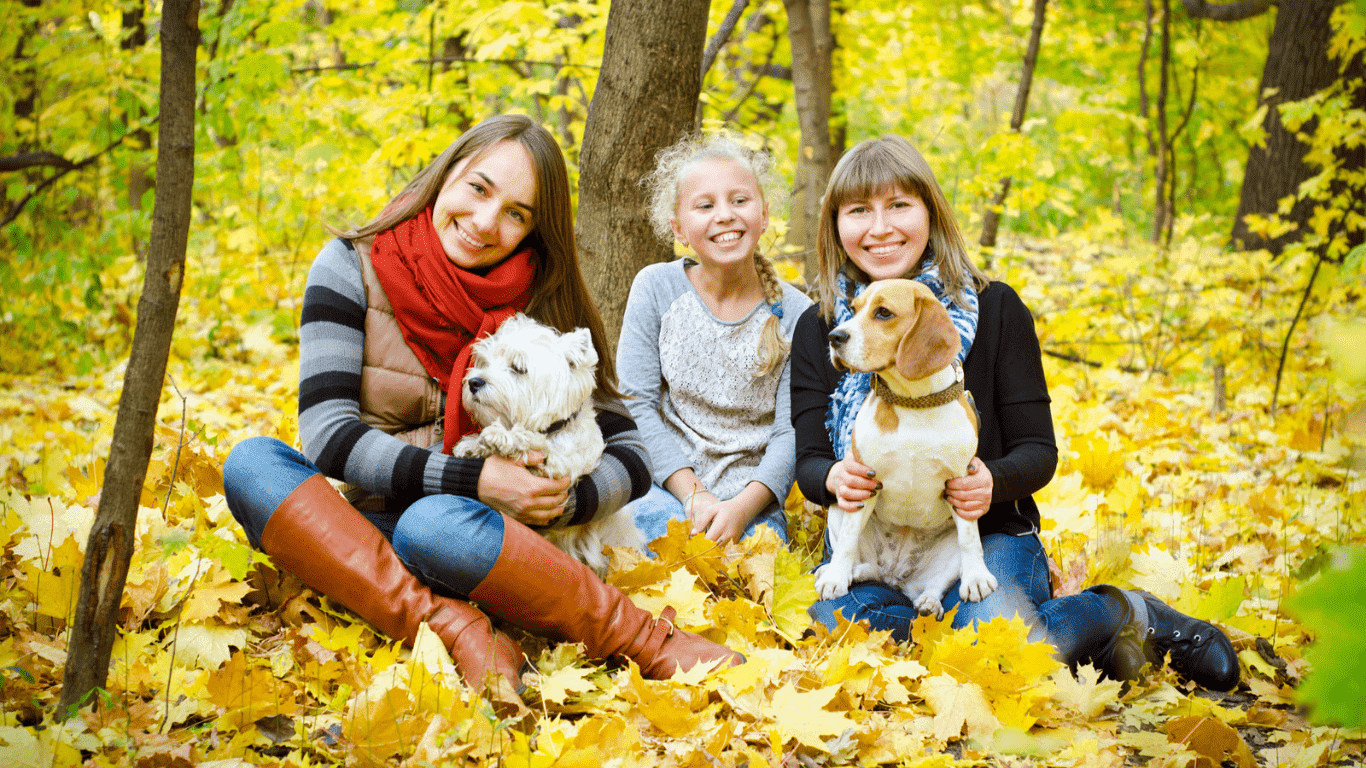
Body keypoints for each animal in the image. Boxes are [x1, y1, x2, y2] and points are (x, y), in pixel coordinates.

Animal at [456, 312, 647, 573]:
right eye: (484, 362)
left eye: (518, 368)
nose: (474, 382)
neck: (554, 428)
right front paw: (472, 445)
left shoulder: (559, 467)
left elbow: (536, 443)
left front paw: (502, 437)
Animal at [814, 277, 999, 617]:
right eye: (854, 309)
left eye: (883, 313)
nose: (835, 337)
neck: (913, 402)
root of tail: (894, 575)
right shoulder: (862, 482)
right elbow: (846, 542)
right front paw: (835, 578)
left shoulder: (962, 482)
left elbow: (970, 541)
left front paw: (976, 578)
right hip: (838, 507)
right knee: (857, 559)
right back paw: (841, 573)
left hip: (946, 554)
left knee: (935, 583)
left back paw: (929, 603)